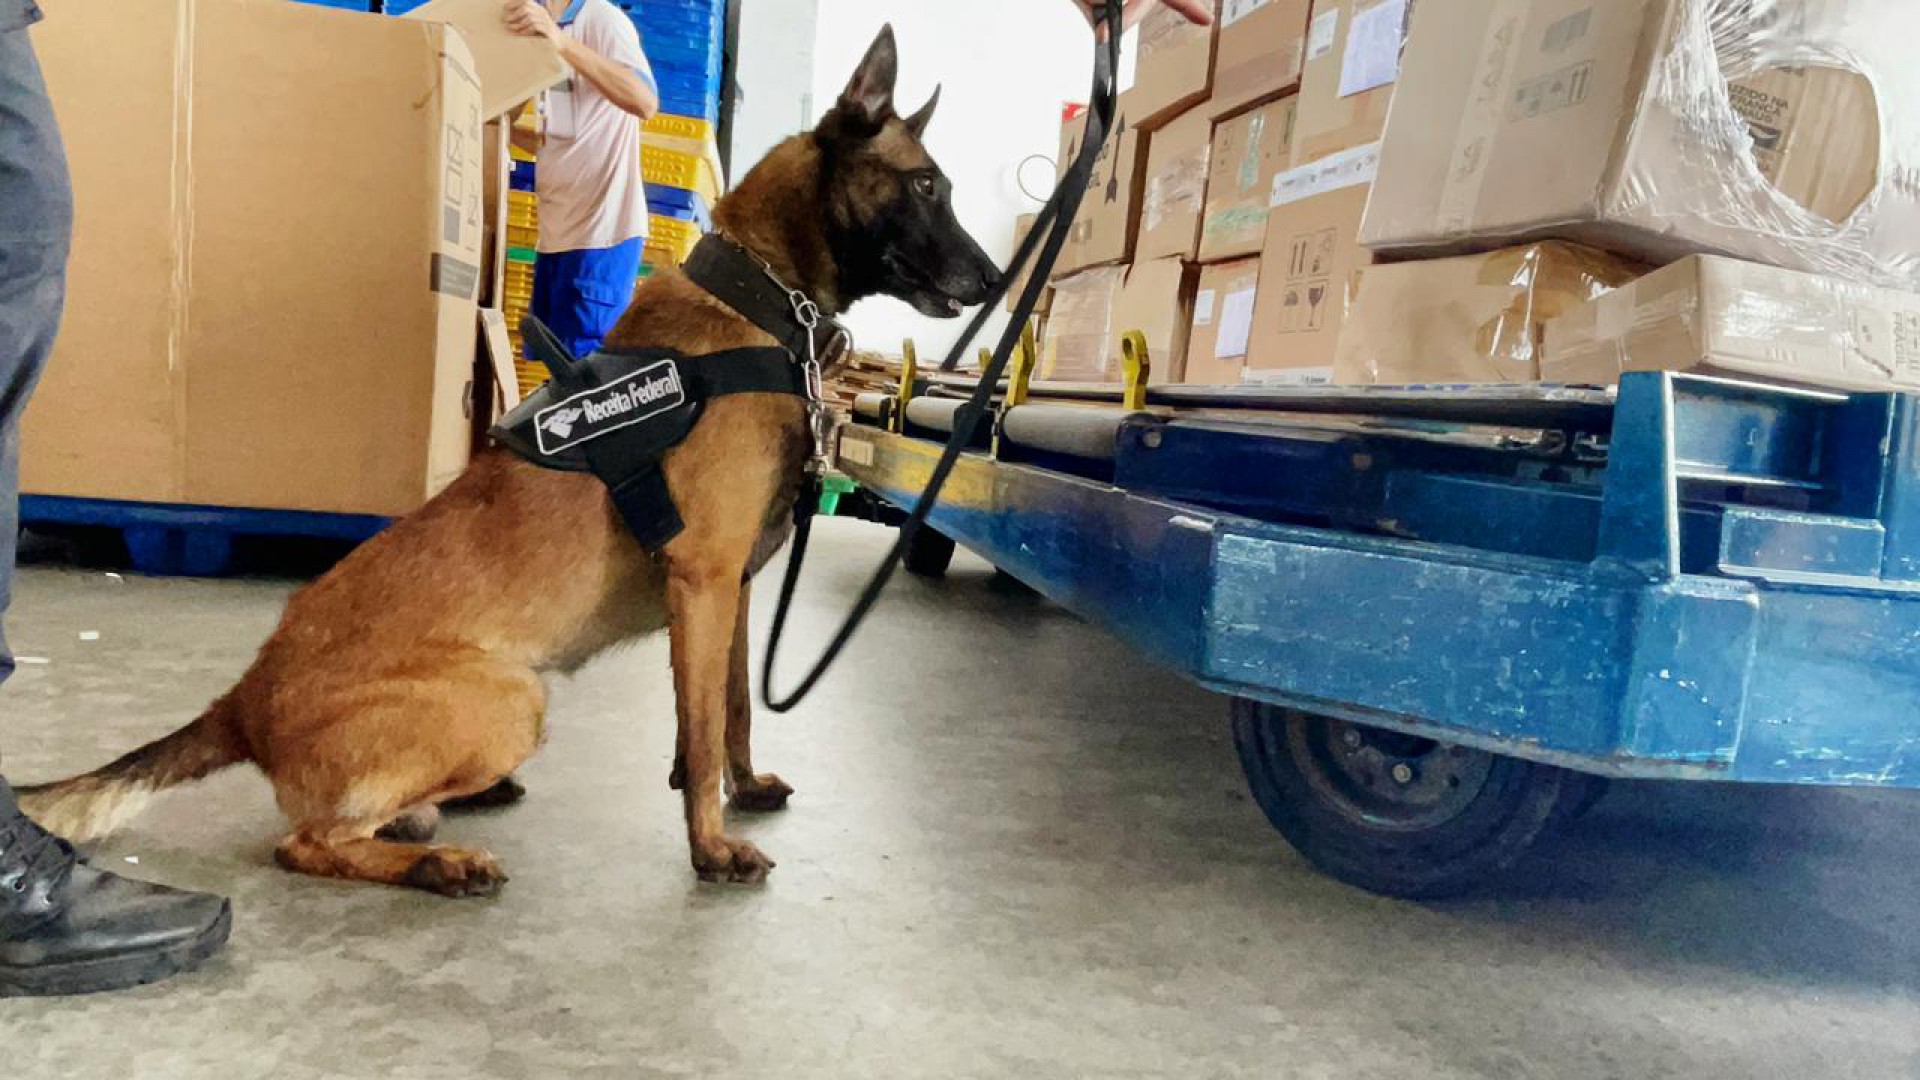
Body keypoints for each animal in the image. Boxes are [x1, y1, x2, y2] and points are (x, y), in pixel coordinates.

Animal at [22, 27, 998, 891]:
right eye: (925, 184)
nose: (993, 280)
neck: (758, 297)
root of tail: (245, 701)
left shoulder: (735, 589)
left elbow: (729, 712)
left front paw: (743, 786)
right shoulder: (705, 578)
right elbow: (699, 734)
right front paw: (710, 846)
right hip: (511, 699)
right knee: (308, 842)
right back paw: (439, 863)